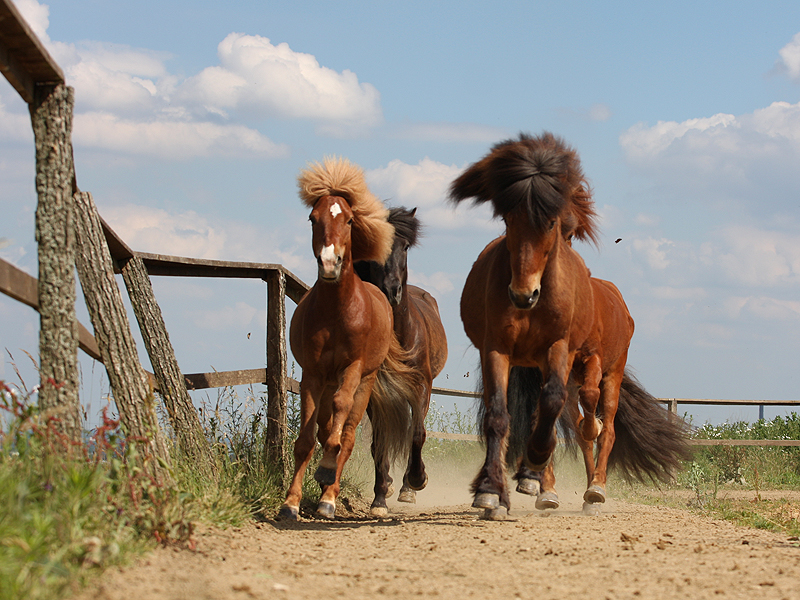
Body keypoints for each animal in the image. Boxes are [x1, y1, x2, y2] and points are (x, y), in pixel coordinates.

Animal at [280, 158, 418, 520]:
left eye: (350, 219)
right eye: (313, 218)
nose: (330, 263)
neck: (336, 313)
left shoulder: (352, 369)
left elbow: (340, 431)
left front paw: (326, 473)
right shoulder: (312, 374)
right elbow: (306, 439)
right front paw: (290, 503)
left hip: (366, 384)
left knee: (350, 433)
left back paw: (329, 496)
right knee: (327, 425)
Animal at [356, 207, 450, 516]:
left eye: (405, 246)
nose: (391, 290)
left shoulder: (420, 386)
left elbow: (417, 434)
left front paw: (417, 480)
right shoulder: (375, 394)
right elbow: (379, 443)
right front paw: (379, 499)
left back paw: (408, 485)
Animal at [450, 134, 688, 516]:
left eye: (558, 225)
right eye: (508, 219)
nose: (524, 294)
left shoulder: (568, 352)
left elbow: (563, 410)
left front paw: (534, 468)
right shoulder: (498, 350)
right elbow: (503, 416)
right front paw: (493, 490)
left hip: (610, 372)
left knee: (603, 427)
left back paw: (595, 488)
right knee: (563, 423)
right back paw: (550, 488)